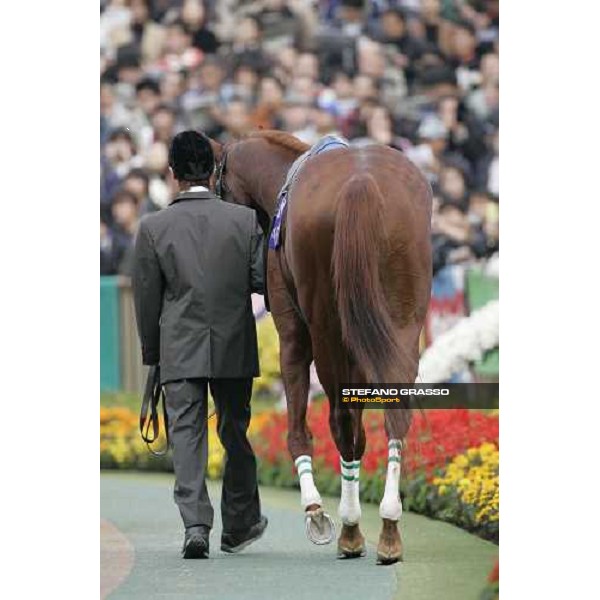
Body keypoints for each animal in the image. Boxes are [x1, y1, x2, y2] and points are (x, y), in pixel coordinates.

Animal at [210, 130, 432, 564]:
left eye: (218, 186)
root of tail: (360, 182)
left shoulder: (294, 334)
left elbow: (299, 428)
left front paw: (316, 513)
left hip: (328, 330)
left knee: (341, 420)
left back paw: (350, 529)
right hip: (400, 326)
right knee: (393, 417)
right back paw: (389, 527)